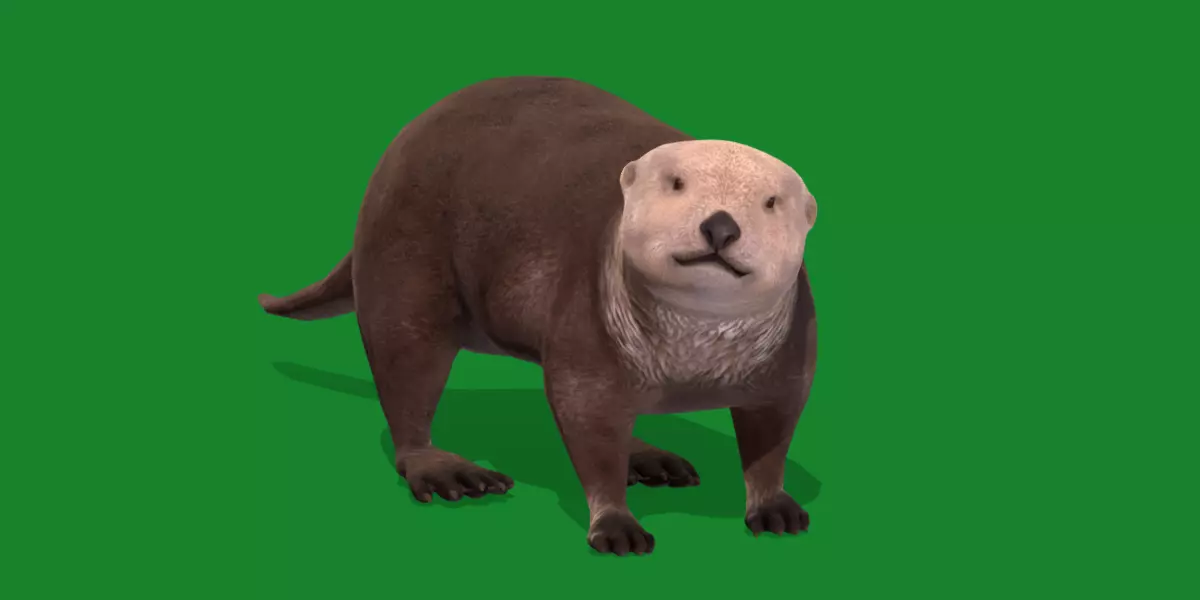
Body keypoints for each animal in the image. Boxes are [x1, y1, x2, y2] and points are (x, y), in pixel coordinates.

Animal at [258, 76, 819, 556]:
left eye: (771, 202)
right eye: (676, 183)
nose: (721, 225)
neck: (692, 363)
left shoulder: (791, 351)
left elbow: (773, 431)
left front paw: (774, 506)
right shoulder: (586, 323)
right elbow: (587, 425)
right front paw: (615, 524)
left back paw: (648, 457)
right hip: (404, 255)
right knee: (405, 371)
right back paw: (446, 470)